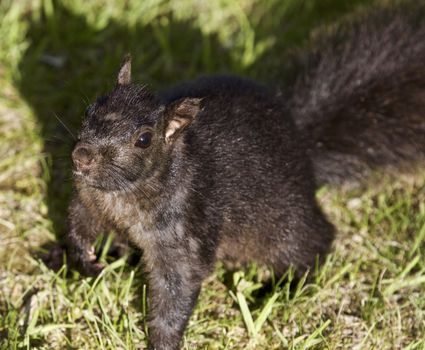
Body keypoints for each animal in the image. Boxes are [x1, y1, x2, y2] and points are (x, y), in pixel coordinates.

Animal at [66, 3, 424, 350]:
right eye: (89, 110)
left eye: (144, 139)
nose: (81, 156)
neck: (120, 195)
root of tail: (302, 144)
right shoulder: (88, 201)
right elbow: (78, 224)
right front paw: (84, 260)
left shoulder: (185, 229)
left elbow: (177, 285)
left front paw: (162, 342)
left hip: (283, 221)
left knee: (314, 241)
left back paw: (281, 289)